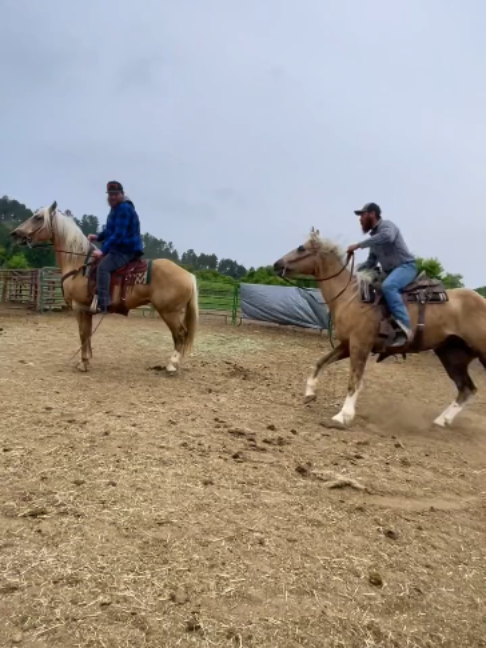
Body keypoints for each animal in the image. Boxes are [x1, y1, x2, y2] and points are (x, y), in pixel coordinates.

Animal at [11, 201, 198, 374]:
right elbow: (87, 334)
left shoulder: (79, 307)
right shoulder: (87, 310)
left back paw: (172, 365)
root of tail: (188, 275)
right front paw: (87, 360)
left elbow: (82, 333)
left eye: (38, 217)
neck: (79, 264)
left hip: (169, 312)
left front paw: (83, 363)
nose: (15, 233)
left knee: (180, 334)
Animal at [273, 228, 486, 429]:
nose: (276, 264)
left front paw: (343, 416)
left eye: (301, 248)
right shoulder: (347, 344)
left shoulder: (360, 344)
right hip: (451, 354)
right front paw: (309, 393)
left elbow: (354, 379)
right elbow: (320, 362)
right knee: (466, 389)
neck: (352, 296)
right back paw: (442, 420)